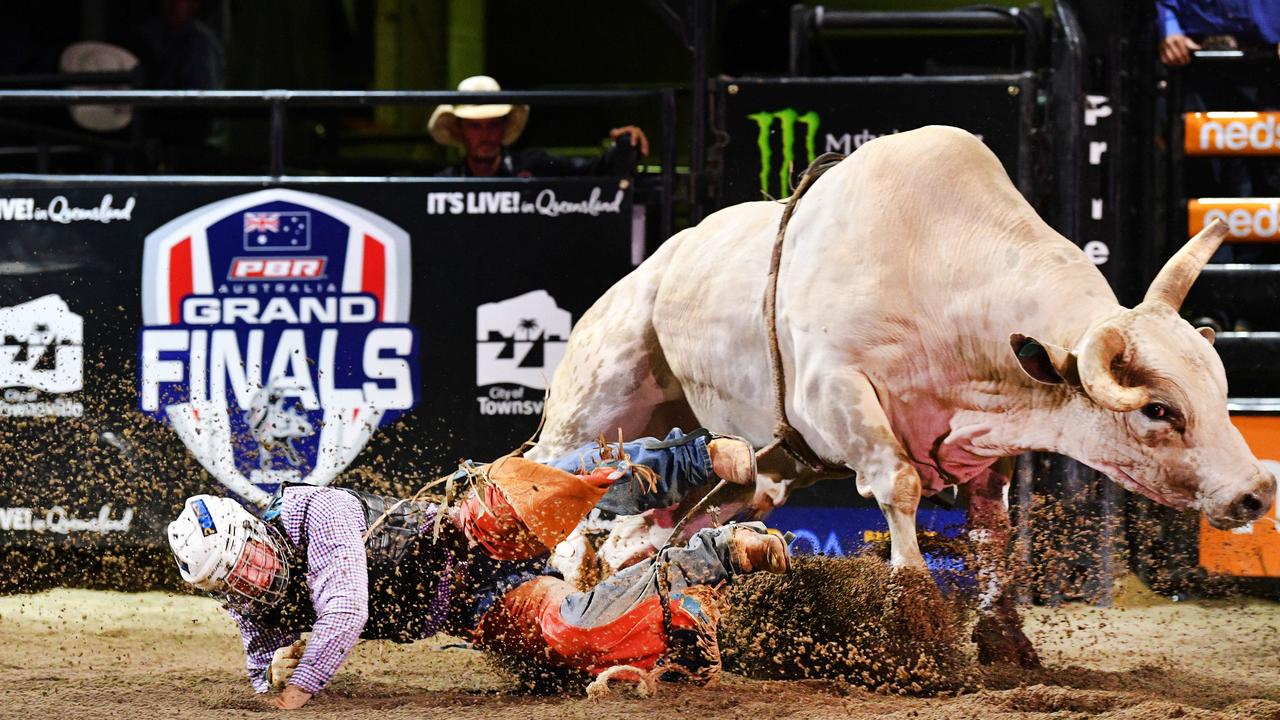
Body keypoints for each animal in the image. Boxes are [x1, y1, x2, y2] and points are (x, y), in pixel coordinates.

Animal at [524, 126, 1274, 666]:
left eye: (1217, 389)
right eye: (1158, 409)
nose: (1256, 493)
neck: (937, 264)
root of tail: (653, 265)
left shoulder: (987, 437)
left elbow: (991, 527)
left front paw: (1003, 636)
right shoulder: (836, 395)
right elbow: (901, 487)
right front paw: (914, 621)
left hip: (745, 471)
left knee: (642, 536)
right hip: (594, 404)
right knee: (556, 493)